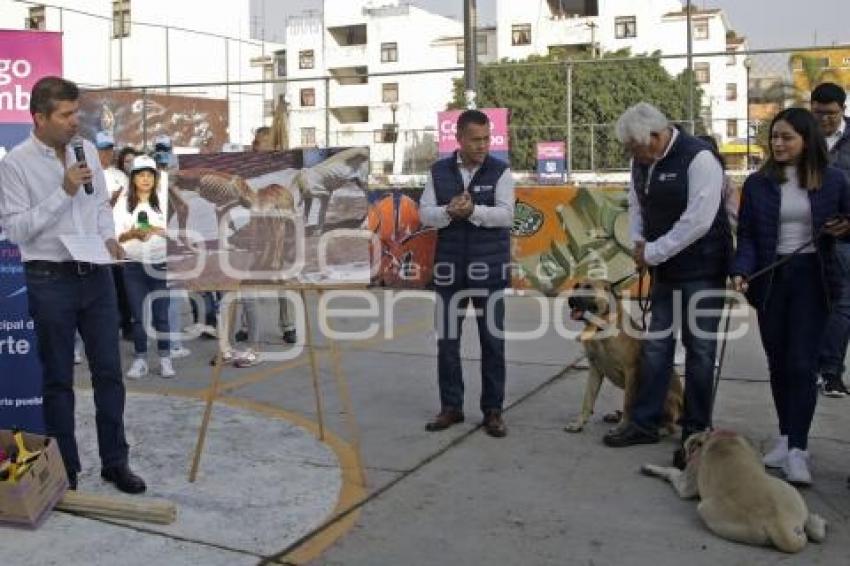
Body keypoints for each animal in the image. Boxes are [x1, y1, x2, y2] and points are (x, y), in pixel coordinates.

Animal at [564, 280, 684, 434]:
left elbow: (628, 403)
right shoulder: (595, 370)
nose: (570, 300)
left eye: (589, 287)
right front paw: (579, 423)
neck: (602, 327)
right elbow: (587, 400)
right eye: (575, 286)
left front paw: (622, 427)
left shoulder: (631, 371)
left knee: (670, 425)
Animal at [644, 432, 820, 552]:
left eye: (684, 447)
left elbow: (671, 471)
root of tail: (777, 524)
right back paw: (817, 522)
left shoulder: (686, 483)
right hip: (790, 491)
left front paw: (652, 468)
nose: (675, 454)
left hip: (705, 509)